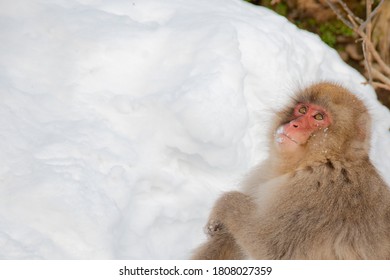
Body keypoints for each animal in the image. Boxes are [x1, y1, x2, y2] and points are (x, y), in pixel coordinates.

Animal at [192, 82, 390, 260]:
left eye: (319, 117)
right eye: (302, 110)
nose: (294, 124)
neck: (324, 160)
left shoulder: (315, 192)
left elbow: (270, 245)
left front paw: (224, 204)